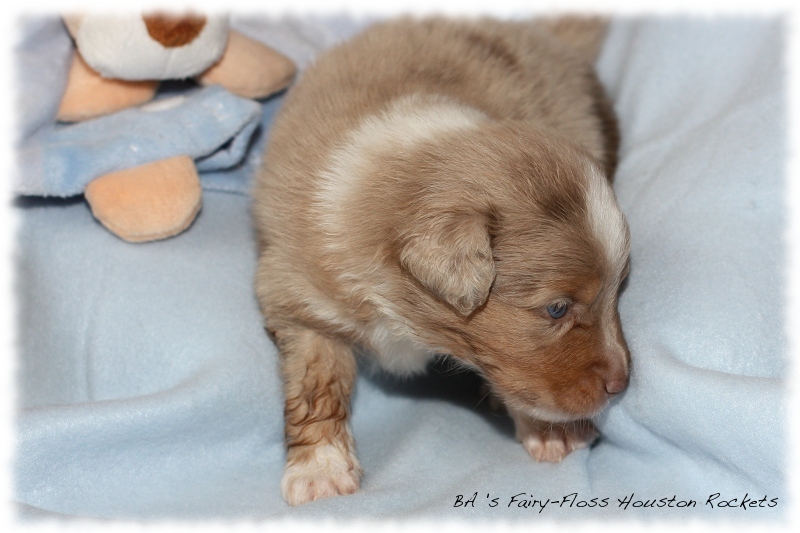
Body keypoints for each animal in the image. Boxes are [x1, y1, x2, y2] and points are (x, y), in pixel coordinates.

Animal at [253, 16, 628, 504]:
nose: (622, 385)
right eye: (557, 309)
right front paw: (321, 470)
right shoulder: (297, 299)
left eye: (619, 290)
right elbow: (316, 384)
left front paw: (552, 431)